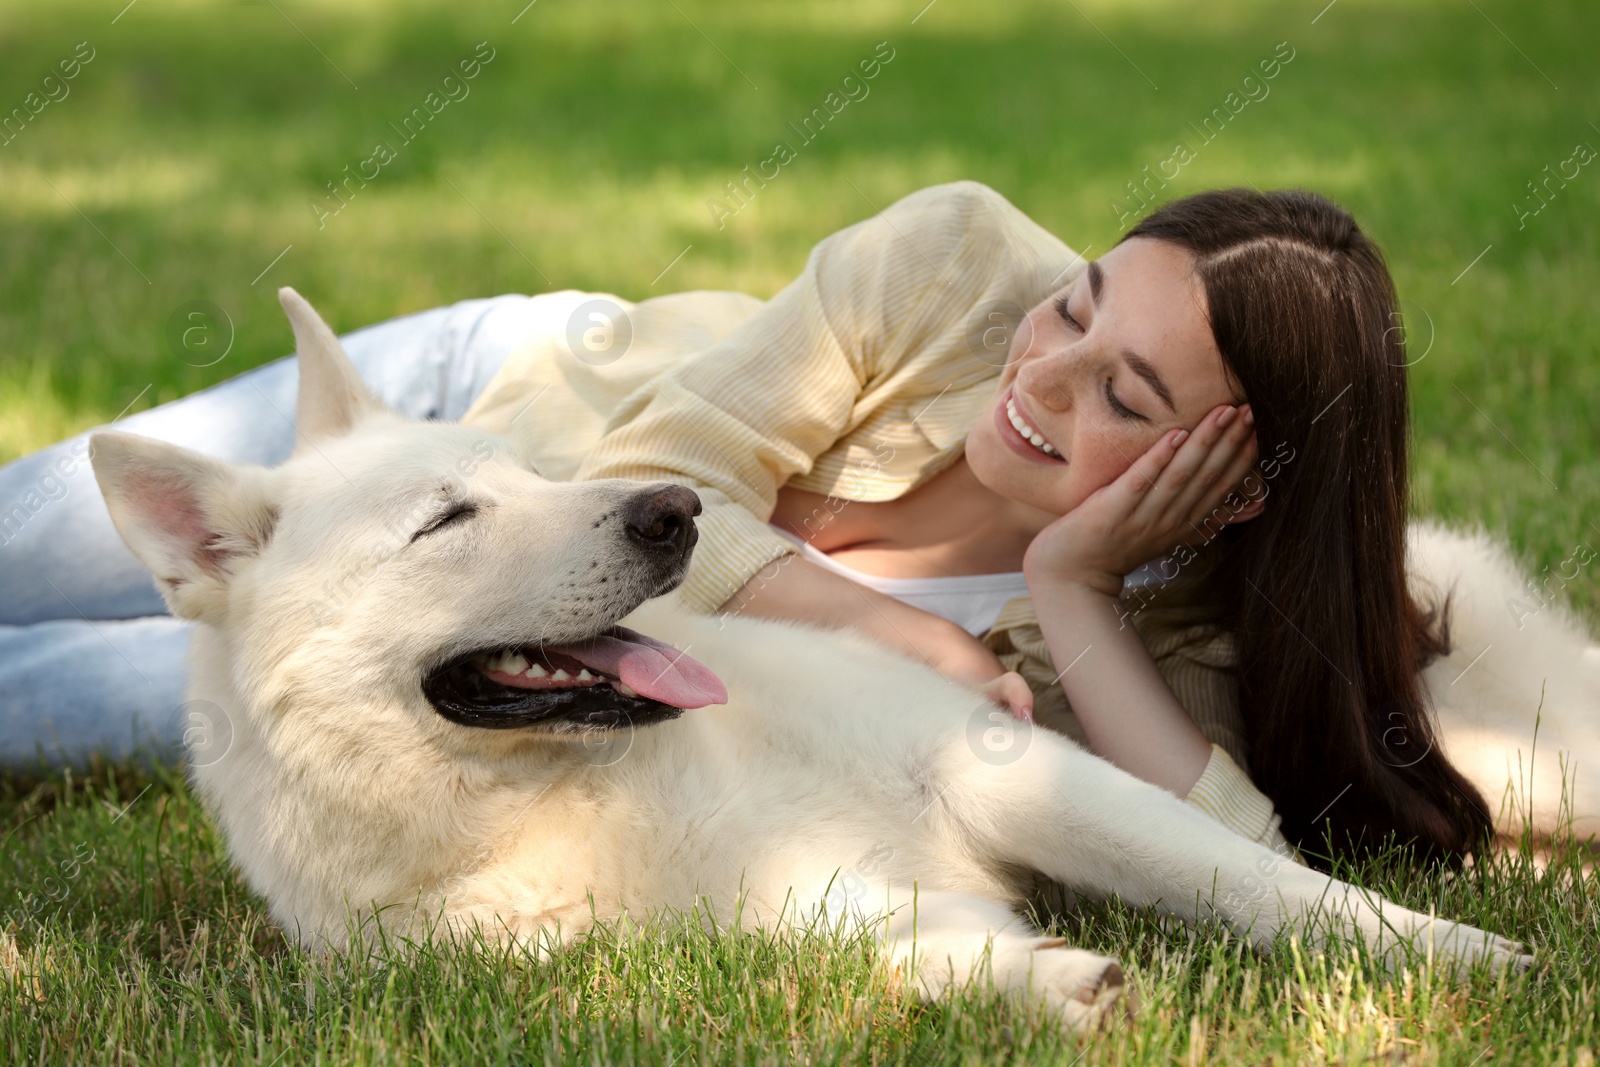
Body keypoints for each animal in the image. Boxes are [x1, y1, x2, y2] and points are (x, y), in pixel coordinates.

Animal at [84, 287, 1548, 1030]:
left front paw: (1463, 957)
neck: (575, 787)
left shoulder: (1019, 768)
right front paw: (1050, 979)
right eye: (447, 518)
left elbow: (1267, 883)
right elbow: (890, 952)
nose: (670, 508)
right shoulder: (714, 939)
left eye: (532, 476)